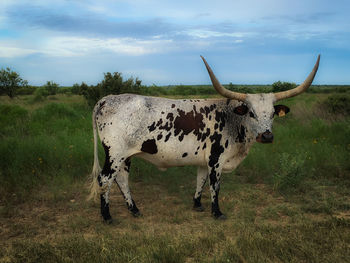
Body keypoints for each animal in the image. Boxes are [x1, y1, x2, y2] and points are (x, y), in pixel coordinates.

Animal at [89, 55, 320, 223]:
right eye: (251, 113)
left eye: (272, 114)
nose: (267, 135)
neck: (231, 118)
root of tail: (106, 99)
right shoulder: (216, 159)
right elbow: (215, 185)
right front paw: (216, 212)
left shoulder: (203, 160)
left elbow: (200, 180)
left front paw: (197, 205)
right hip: (115, 154)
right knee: (104, 179)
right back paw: (107, 216)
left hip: (126, 156)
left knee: (121, 179)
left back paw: (134, 209)